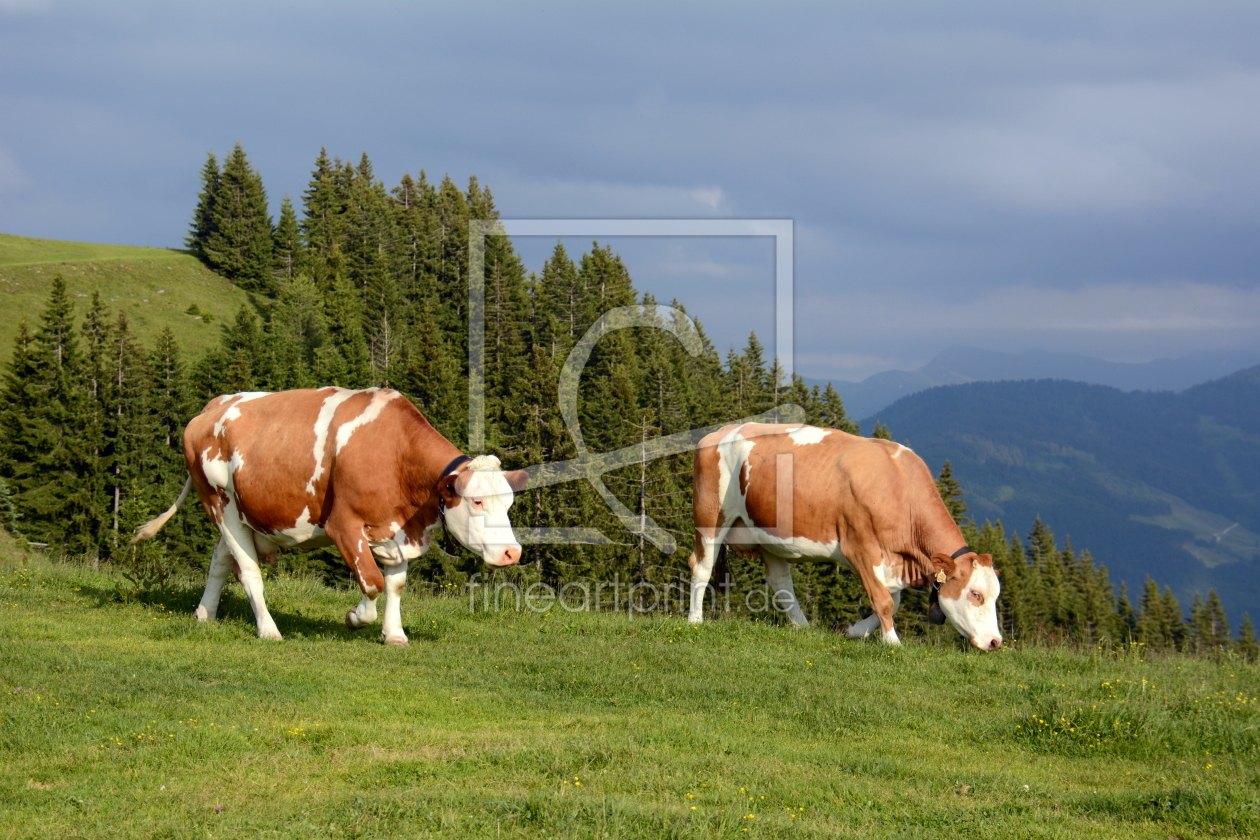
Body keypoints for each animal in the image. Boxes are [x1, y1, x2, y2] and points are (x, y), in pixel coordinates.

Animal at [135, 385, 529, 644]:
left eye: (509, 503)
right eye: (477, 502)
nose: (513, 552)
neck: (395, 453)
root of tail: (216, 404)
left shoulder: (397, 529)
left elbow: (396, 583)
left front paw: (394, 634)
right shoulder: (344, 524)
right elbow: (372, 581)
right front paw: (355, 618)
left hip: (242, 513)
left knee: (219, 562)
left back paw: (204, 614)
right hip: (220, 503)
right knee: (248, 571)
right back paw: (269, 630)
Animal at [690, 423, 1002, 654]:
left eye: (996, 594)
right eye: (976, 594)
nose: (996, 641)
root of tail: (722, 430)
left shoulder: (890, 560)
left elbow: (893, 599)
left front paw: (853, 630)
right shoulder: (861, 547)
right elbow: (884, 600)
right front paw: (893, 643)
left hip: (770, 536)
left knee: (780, 583)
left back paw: (803, 627)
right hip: (710, 518)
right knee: (701, 567)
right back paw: (695, 620)